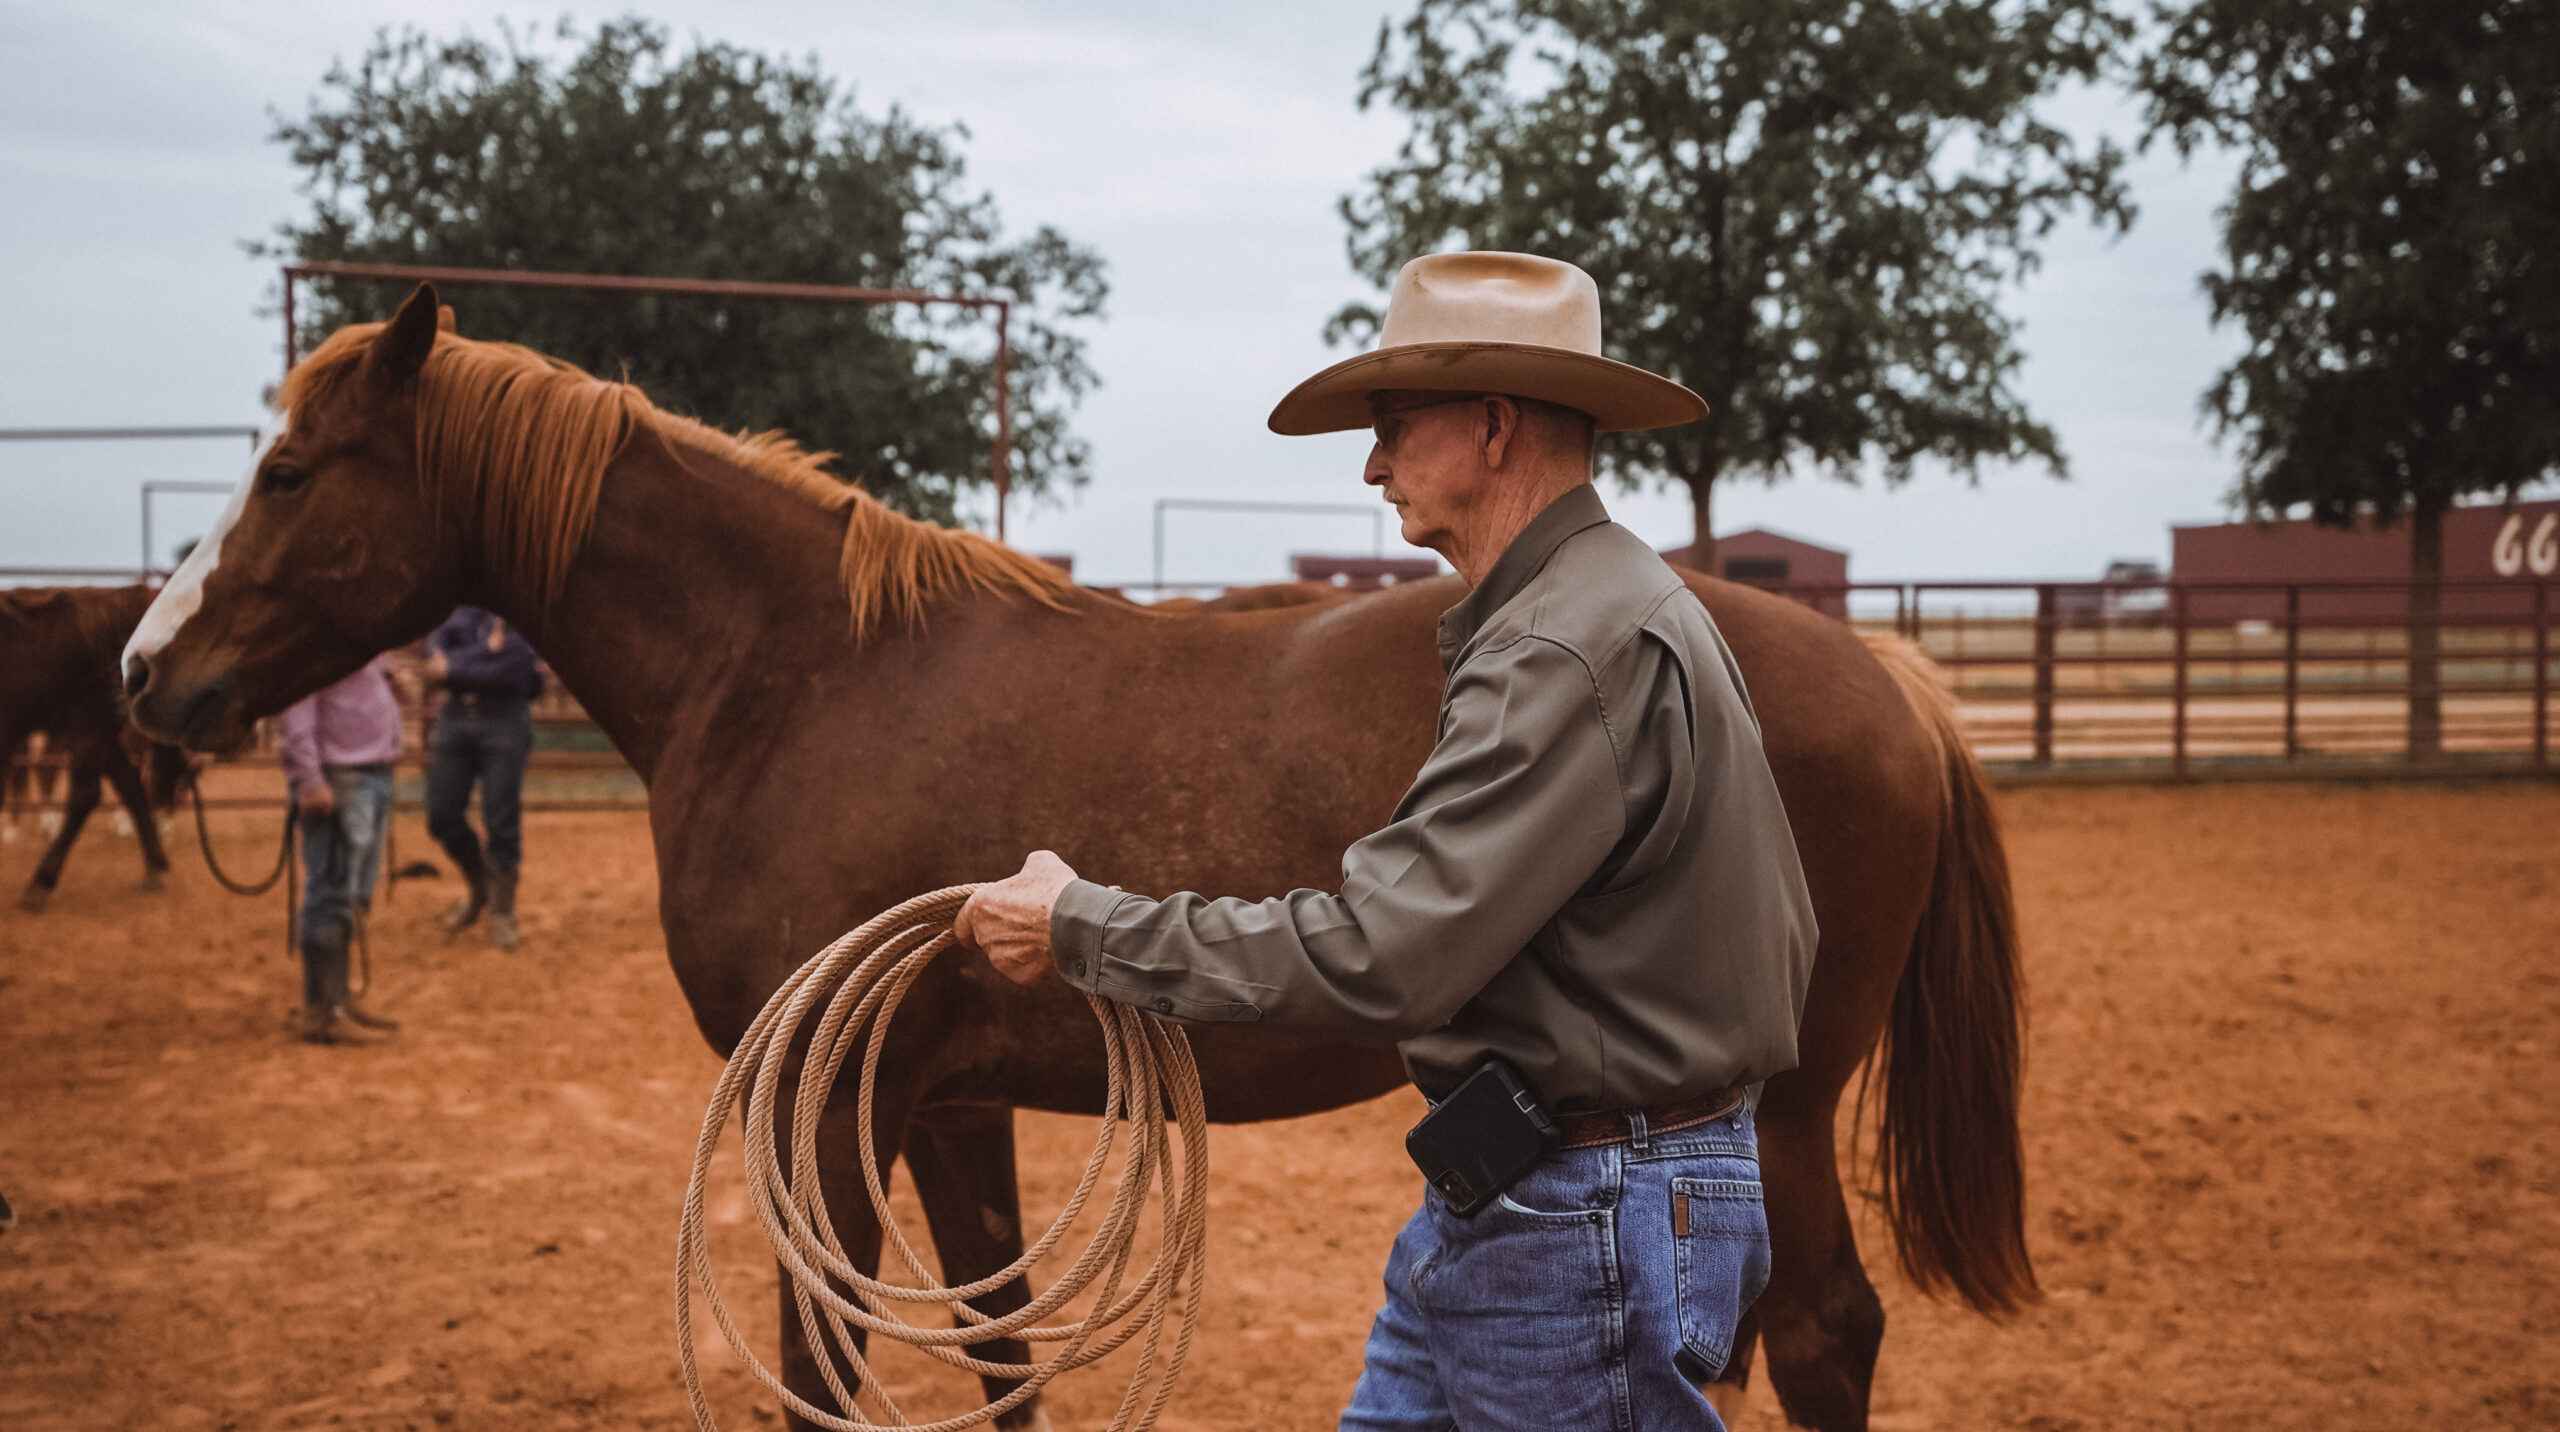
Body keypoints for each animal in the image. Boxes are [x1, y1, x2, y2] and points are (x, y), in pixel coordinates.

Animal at [129, 292, 2027, 1432]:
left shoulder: (821, 1109)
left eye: (289, 470)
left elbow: (827, 1362)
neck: (802, 673)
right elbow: (1001, 1351)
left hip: (1788, 1109)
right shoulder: (946, 1105)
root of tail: (1894, 683)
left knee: (1823, 1331)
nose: (150, 674)